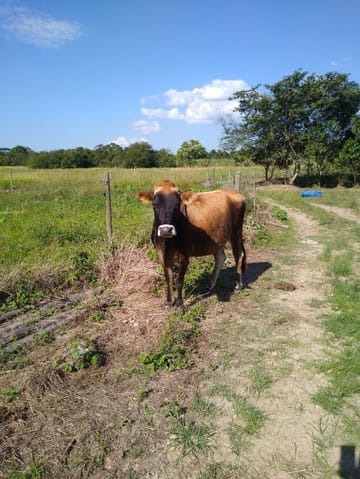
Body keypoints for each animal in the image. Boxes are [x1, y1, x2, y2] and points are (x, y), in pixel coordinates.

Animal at [136, 180, 246, 308]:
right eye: (155, 205)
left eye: (177, 205)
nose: (166, 230)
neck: (167, 244)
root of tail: (234, 192)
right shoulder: (161, 254)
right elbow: (168, 279)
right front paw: (169, 301)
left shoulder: (184, 256)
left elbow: (179, 281)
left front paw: (179, 304)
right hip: (218, 239)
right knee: (220, 258)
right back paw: (210, 286)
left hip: (236, 231)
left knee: (238, 255)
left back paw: (238, 286)